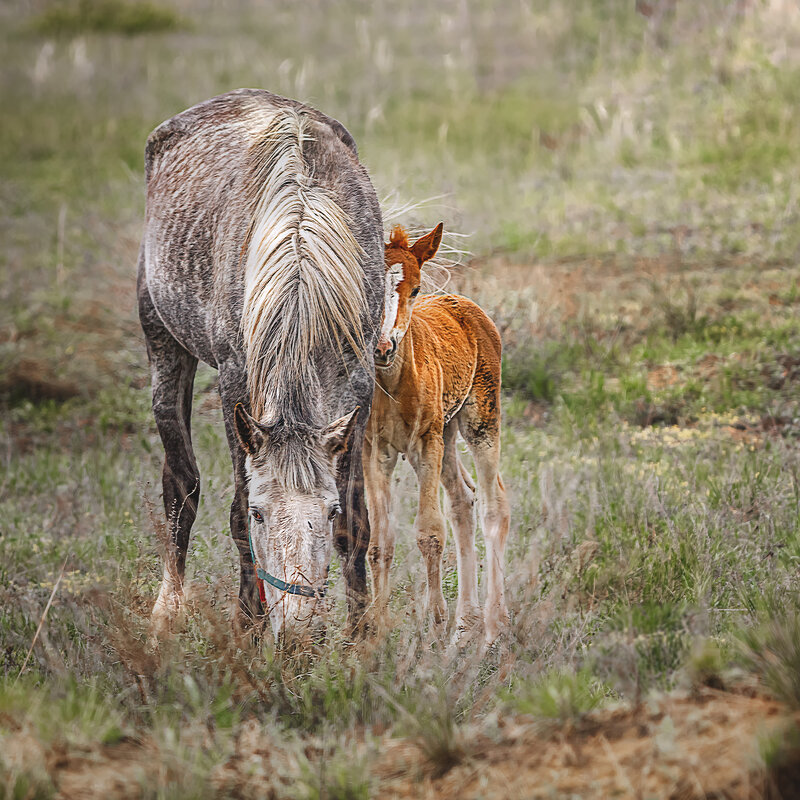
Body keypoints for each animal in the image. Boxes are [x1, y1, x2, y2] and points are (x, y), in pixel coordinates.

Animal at [138, 87, 384, 640]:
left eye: (328, 511)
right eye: (260, 515)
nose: (295, 630)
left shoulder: (358, 392)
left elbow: (357, 523)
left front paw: (362, 640)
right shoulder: (237, 390)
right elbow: (229, 516)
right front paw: (247, 629)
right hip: (162, 343)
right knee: (180, 486)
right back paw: (167, 610)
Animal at [364, 225, 510, 644]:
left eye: (414, 289)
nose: (383, 347)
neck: (394, 386)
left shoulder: (426, 443)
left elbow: (429, 532)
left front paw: (433, 626)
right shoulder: (375, 451)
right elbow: (379, 542)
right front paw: (376, 631)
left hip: (480, 421)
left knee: (494, 505)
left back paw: (494, 625)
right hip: (447, 431)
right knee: (463, 501)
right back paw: (466, 623)